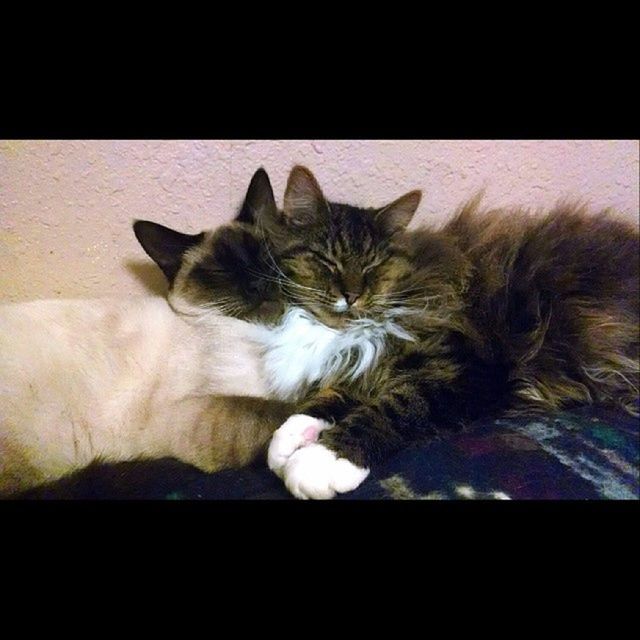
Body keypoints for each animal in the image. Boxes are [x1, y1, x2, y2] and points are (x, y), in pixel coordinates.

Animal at [256, 164, 640, 500]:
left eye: (373, 266)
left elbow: (395, 407)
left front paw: (322, 459)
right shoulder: (369, 361)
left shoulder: (473, 373)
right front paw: (293, 433)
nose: (352, 296)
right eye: (327, 261)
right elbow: (334, 395)